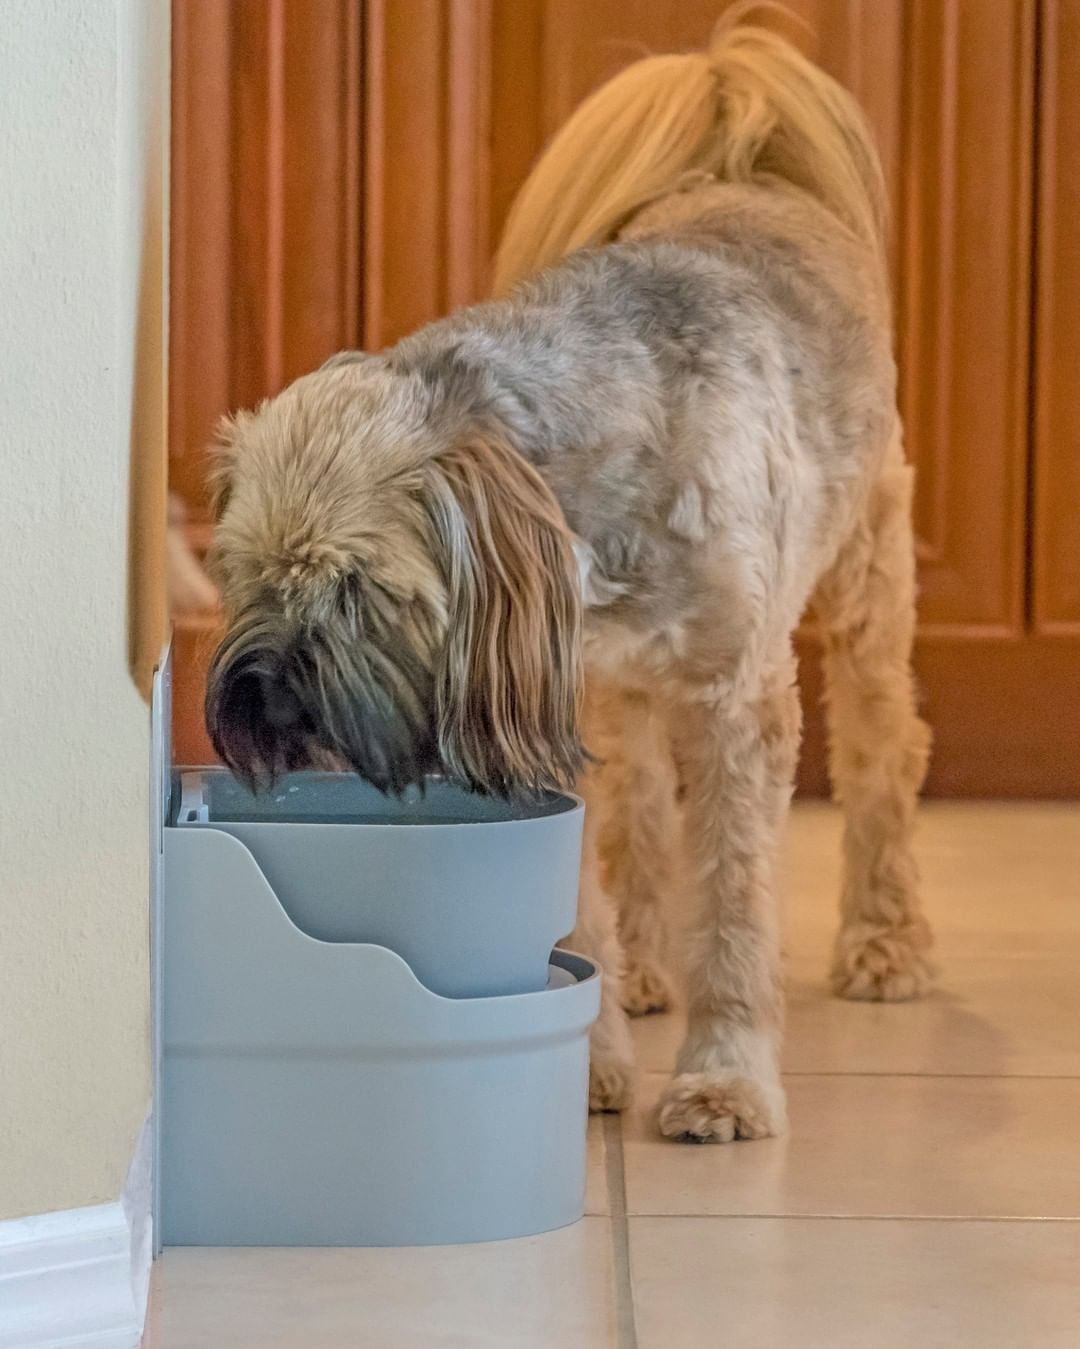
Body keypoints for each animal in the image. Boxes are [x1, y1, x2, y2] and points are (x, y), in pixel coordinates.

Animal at [206, 15, 933, 1143]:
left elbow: (734, 905)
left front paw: (724, 1077)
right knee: (639, 810)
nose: (267, 696)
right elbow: (577, 893)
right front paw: (590, 1059)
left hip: (867, 585)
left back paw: (885, 940)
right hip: (622, 699)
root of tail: (743, 161)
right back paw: (642, 964)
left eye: (360, 586)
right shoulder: (555, 702)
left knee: (885, 754)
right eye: (243, 576)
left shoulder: (737, 705)